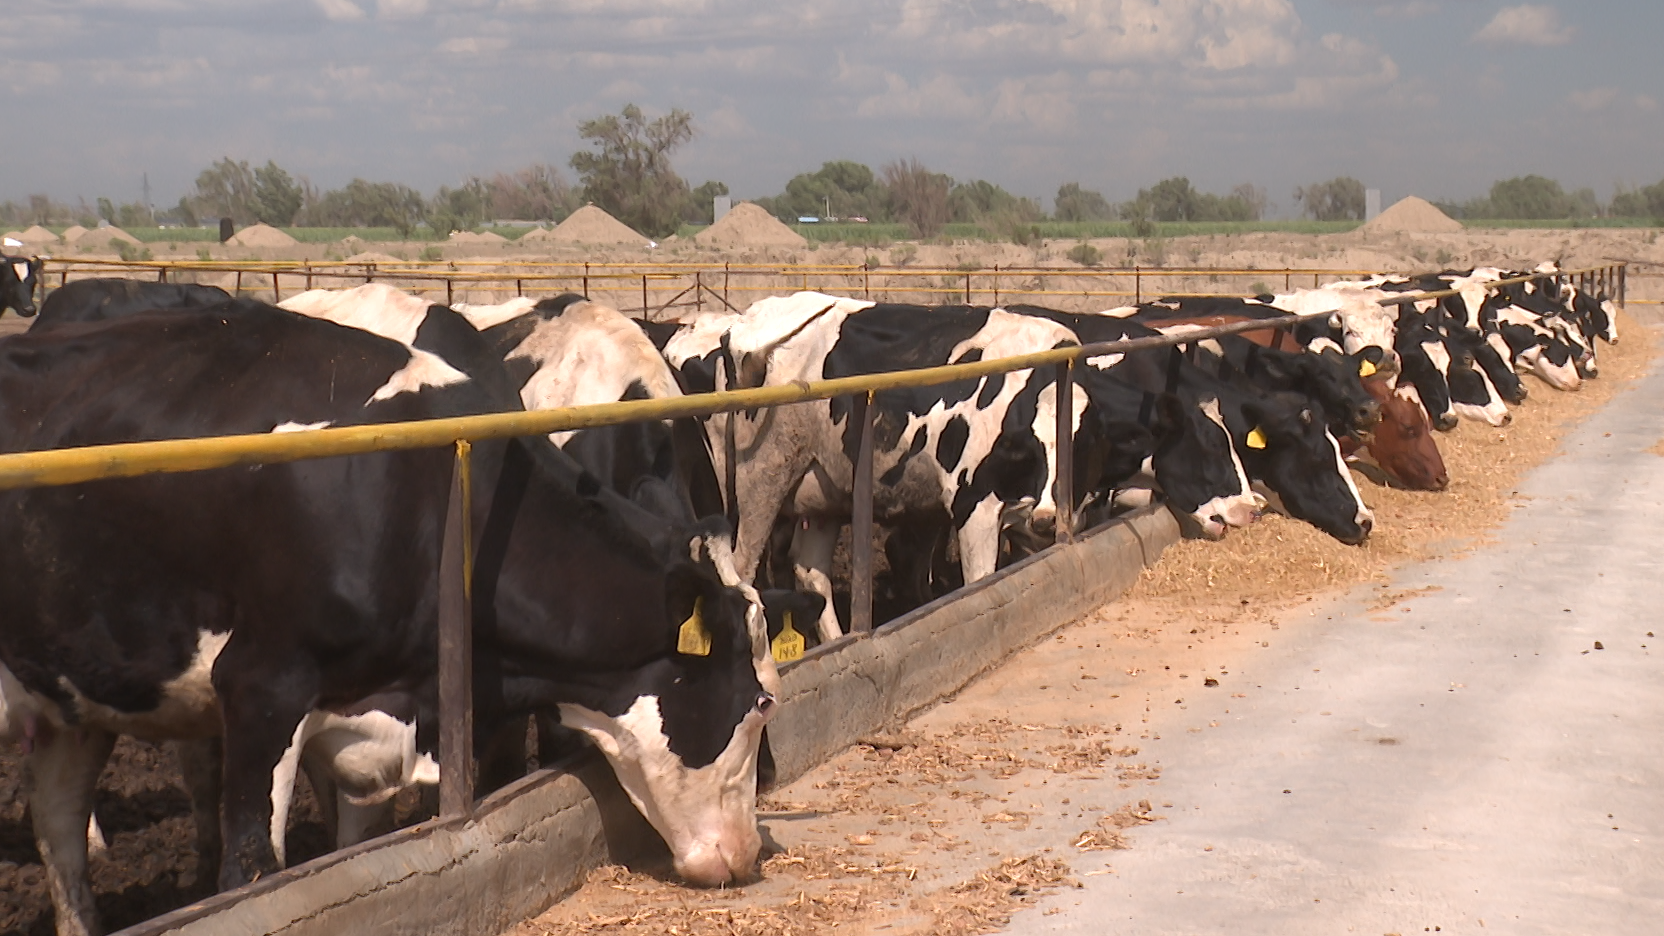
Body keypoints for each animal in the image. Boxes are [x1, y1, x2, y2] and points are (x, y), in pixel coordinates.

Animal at [0, 300, 781, 935]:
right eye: (759, 702)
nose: (745, 856)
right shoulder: (260, 687)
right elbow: (251, 871)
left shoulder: (367, 722)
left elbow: (355, 857)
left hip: (76, 691)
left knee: (59, 834)